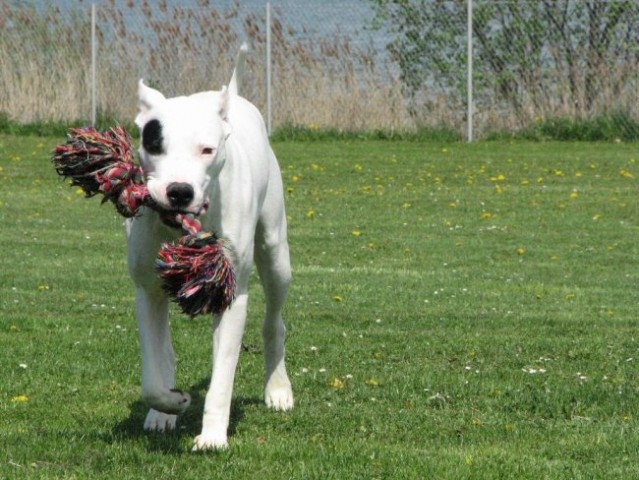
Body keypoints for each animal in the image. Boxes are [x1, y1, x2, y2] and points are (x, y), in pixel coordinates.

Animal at [125, 45, 296, 450]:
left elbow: (222, 378)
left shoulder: (232, 296)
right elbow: (153, 374)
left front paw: (213, 436)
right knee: (166, 352)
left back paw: (278, 389)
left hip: (276, 255)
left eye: (207, 150)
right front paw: (169, 403)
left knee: (273, 324)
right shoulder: (146, 292)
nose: (179, 191)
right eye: (155, 144)